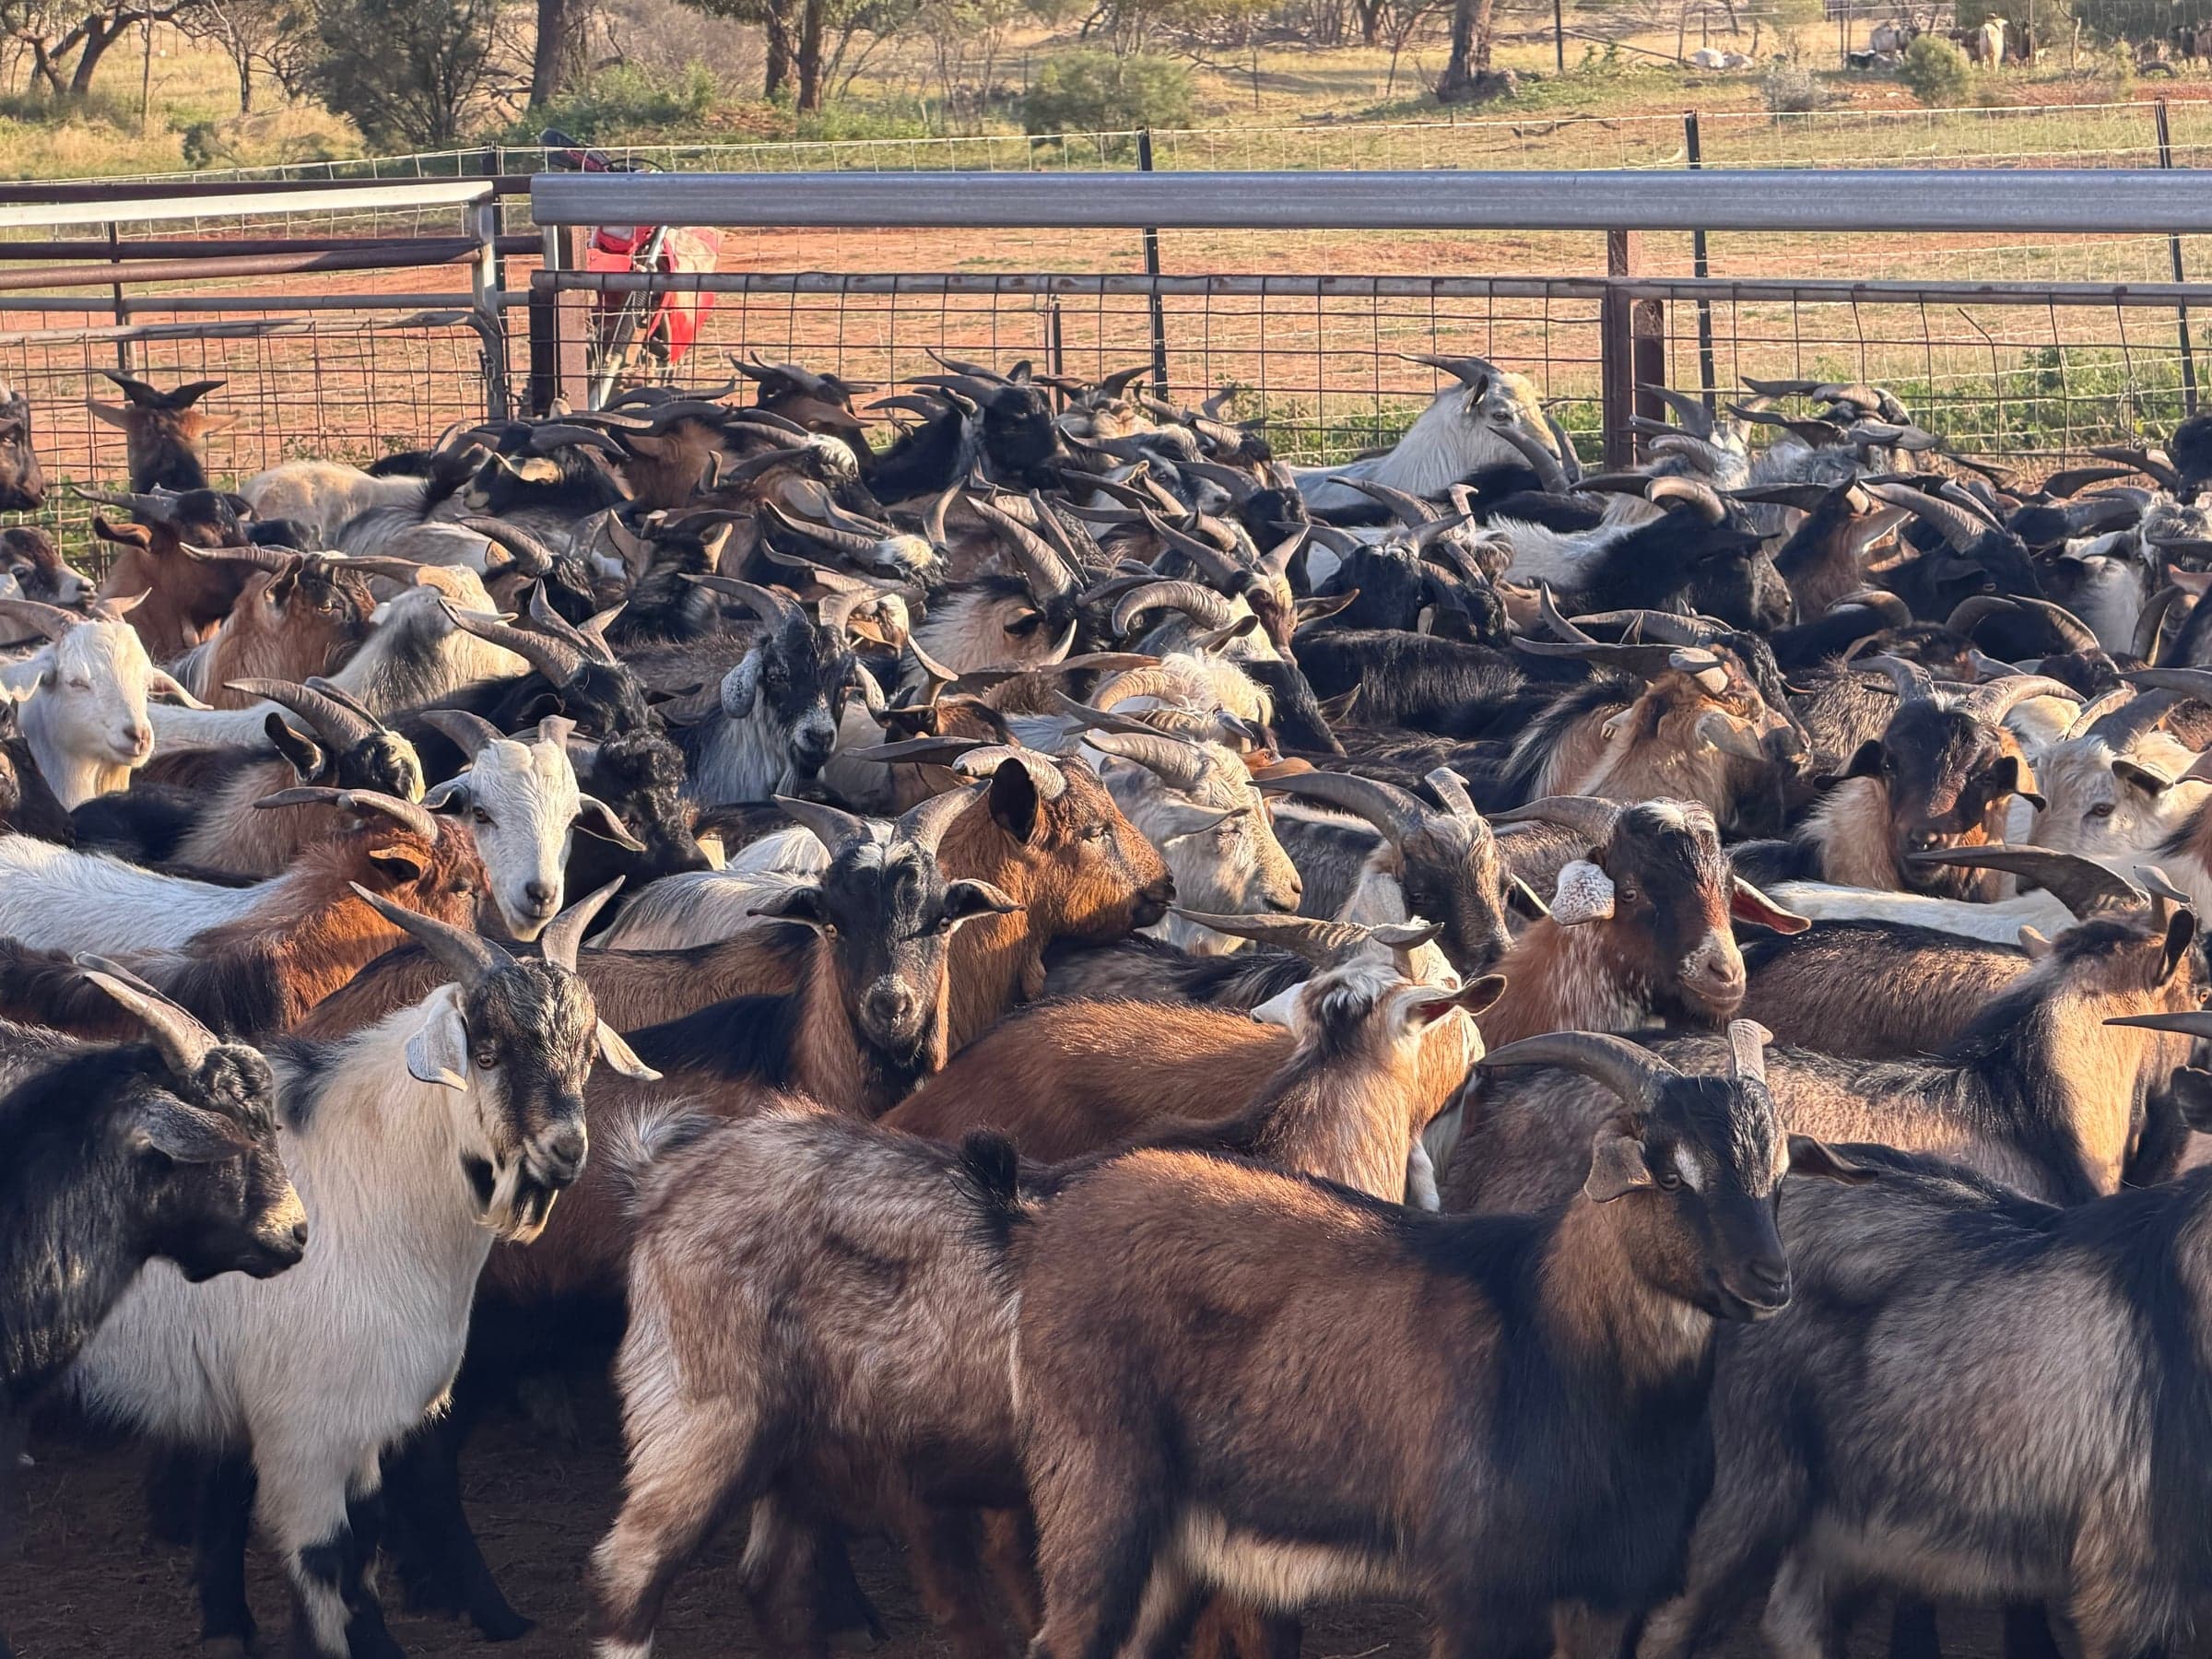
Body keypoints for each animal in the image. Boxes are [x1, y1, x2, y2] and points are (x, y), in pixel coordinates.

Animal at [1006, 1025, 1862, 1659]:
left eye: (1777, 1178)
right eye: (1672, 1173)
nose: (1769, 1280)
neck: (1550, 1337)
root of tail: (1052, 1221)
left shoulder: (1612, 1590)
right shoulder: (1481, 1589)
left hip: (1175, 1540)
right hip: (1098, 1488)